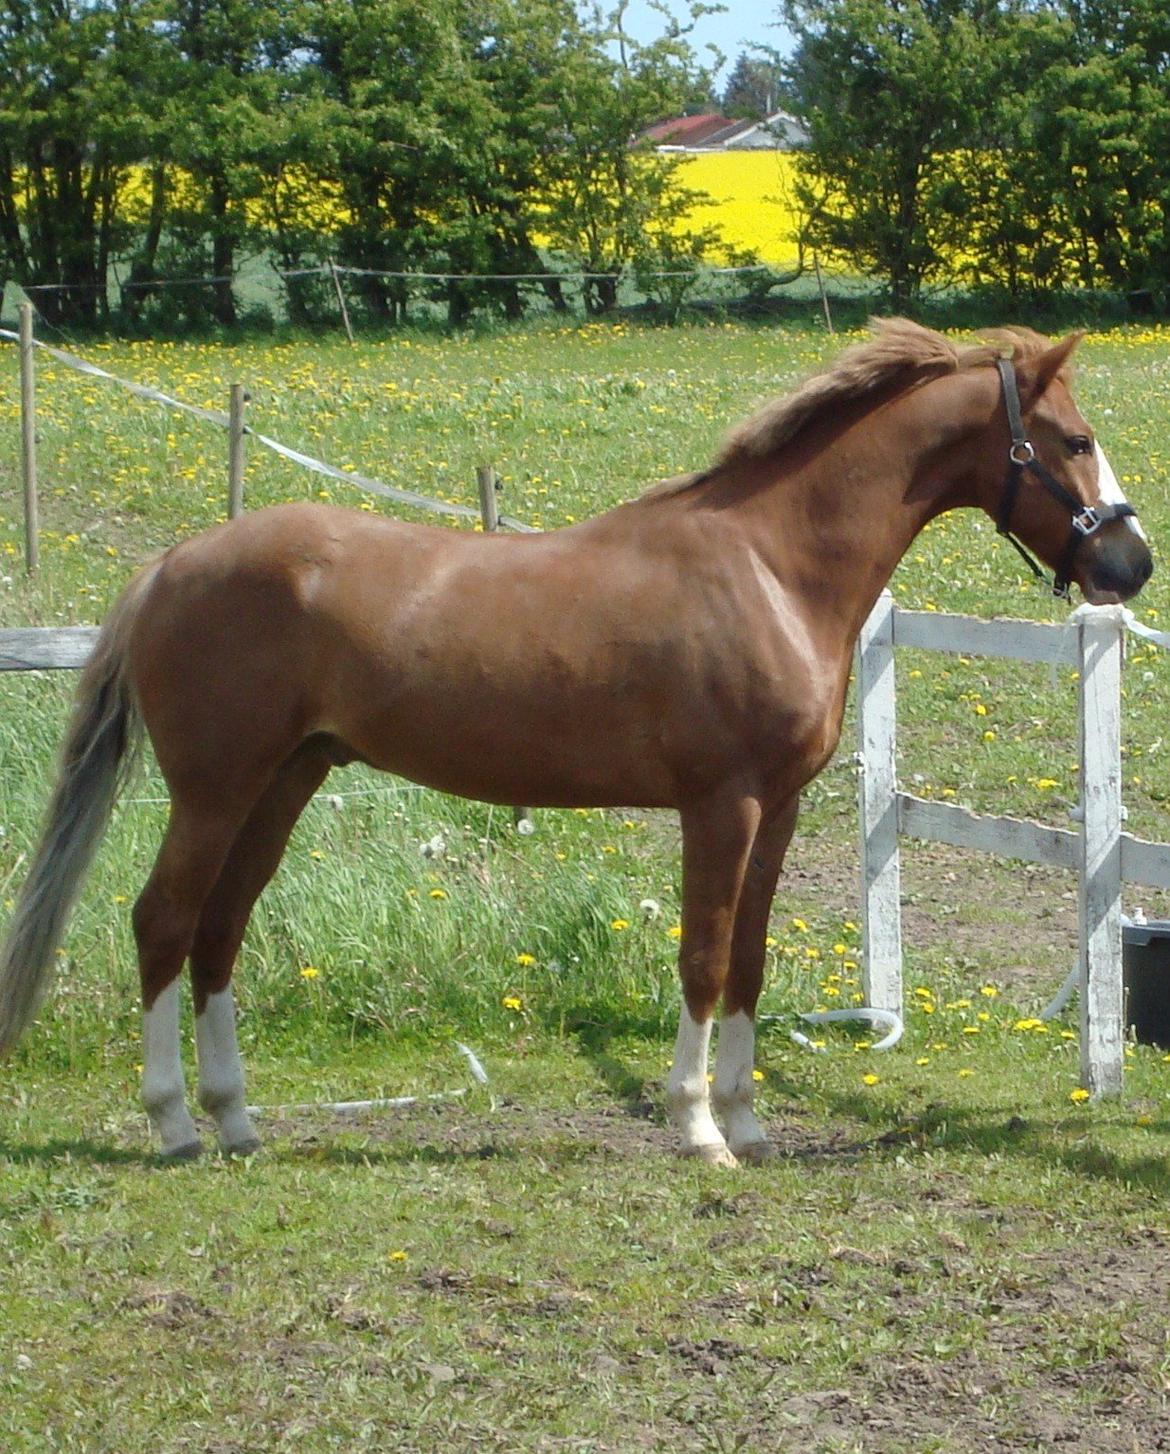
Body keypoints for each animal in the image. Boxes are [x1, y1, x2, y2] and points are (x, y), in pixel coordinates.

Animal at [0, 320, 1153, 1166]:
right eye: (1072, 438)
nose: (1131, 565)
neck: (769, 567)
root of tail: (174, 562)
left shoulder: (777, 808)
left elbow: (750, 959)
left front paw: (748, 1123)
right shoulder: (721, 803)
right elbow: (702, 958)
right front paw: (697, 1127)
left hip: (282, 783)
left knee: (219, 931)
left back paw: (237, 1120)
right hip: (215, 789)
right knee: (162, 922)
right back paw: (175, 1124)